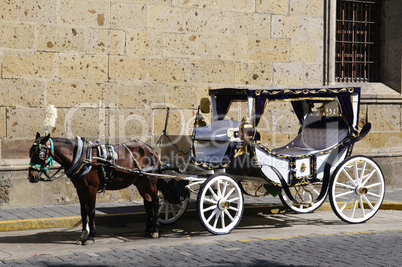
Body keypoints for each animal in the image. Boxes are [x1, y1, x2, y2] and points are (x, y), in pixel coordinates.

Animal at [27, 133, 160, 246]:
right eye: (30, 153)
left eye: (40, 154)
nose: (31, 176)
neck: (82, 157)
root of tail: (151, 149)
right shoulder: (80, 189)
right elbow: (83, 212)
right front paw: (82, 236)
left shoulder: (92, 188)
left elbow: (91, 211)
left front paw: (91, 237)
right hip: (141, 183)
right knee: (148, 203)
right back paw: (147, 230)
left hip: (151, 180)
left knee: (155, 202)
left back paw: (155, 230)